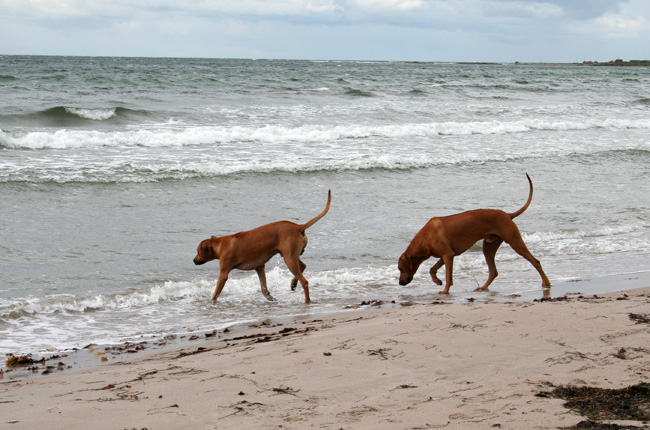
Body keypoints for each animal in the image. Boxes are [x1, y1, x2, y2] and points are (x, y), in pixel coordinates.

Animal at [192, 190, 330, 304]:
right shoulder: (259, 267)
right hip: (291, 255)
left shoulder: (224, 273)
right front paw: (270, 297)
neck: (220, 243)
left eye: (198, 251)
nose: (194, 260)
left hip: (289, 258)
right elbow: (263, 288)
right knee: (303, 266)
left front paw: (211, 302)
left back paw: (307, 300)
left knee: (304, 281)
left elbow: (216, 292)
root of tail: (298, 226)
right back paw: (293, 283)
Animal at [394, 174, 548, 292]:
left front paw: (445, 291)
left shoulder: (448, 255)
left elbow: (449, 277)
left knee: (536, 261)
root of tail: (507, 215)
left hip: (515, 242)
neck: (425, 237)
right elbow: (432, 269)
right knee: (493, 271)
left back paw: (546, 282)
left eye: (400, 268)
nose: (400, 283)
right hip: (489, 246)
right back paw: (483, 287)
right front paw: (437, 281)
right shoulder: (446, 255)